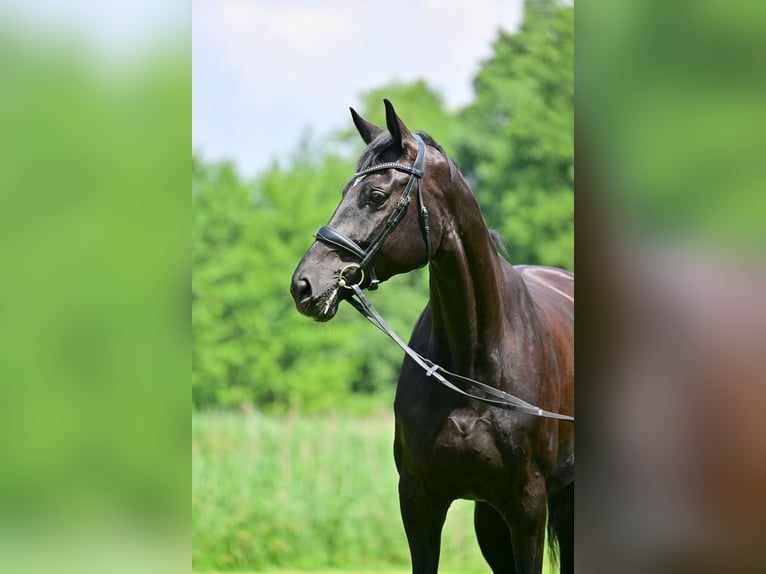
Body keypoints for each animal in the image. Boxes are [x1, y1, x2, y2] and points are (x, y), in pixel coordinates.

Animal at [292, 101, 572, 572]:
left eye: (375, 196)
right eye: (344, 191)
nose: (304, 285)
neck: (473, 365)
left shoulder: (528, 507)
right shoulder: (419, 500)